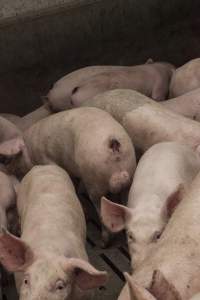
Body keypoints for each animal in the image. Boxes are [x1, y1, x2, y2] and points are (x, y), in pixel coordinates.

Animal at [0, 107, 136, 206]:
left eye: (14, 158)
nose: (7, 169)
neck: (30, 150)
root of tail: (111, 144)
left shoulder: (45, 157)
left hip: (94, 181)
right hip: (129, 165)